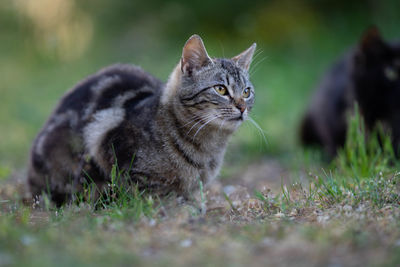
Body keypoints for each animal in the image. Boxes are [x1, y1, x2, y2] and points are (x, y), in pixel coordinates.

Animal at [28, 34, 256, 205]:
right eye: (220, 89)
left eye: (246, 92)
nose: (242, 107)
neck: (208, 146)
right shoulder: (119, 160)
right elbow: (152, 193)